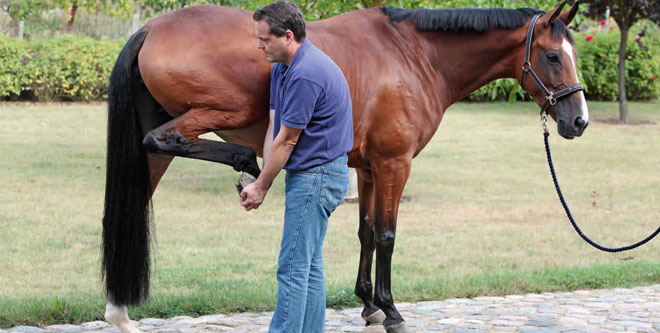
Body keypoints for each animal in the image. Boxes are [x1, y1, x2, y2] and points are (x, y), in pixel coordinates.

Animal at [102, 1, 588, 330]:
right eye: (551, 56)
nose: (578, 121)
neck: (414, 54)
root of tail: (151, 27)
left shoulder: (369, 167)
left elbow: (366, 231)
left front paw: (368, 304)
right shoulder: (394, 164)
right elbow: (388, 235)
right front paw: (390, 309)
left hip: (157, 154)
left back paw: (118, 310)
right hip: (215, 115)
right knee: (164, 139)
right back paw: (245, 163)